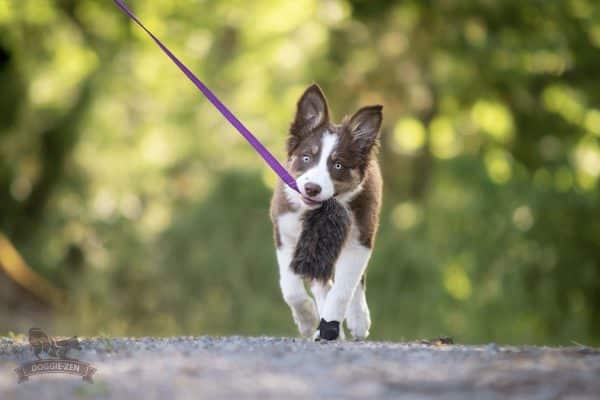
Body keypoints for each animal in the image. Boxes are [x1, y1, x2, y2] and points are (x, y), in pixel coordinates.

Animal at [270, 84, 382, 340]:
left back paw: (358, 319)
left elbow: (343, 290)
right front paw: (308, 321)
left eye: (338, 165)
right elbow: (291, 288)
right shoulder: (285, 234)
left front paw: (330, 326)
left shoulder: (359, 240)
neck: (313, 211)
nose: (312, 188)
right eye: (306, 157)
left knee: (354, 282)